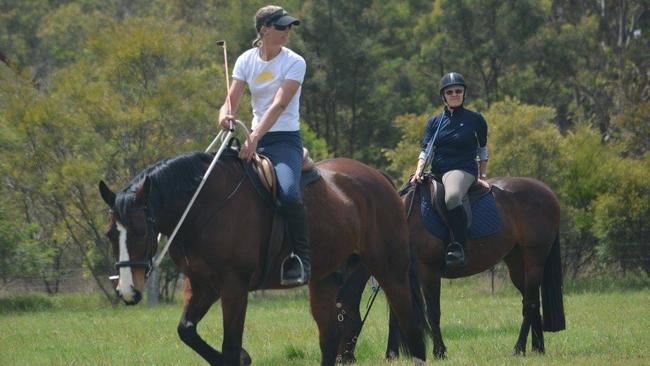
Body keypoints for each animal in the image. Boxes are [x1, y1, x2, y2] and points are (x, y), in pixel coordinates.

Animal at [98, 149, 428, 366]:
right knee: (330, 335)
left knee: (409, 323)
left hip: (389, 270)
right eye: (110, 234)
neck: (204, 207)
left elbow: (230, 347)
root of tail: (377, 177)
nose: (127, 291)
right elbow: (187, 331)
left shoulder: (233, 288)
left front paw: (241, 357)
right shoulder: (201, 286)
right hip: (325, 279)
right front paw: (243, 357)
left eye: (141, 231)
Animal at [332, 177, 564, 360]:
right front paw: (391, 354)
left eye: (340, 316)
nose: (341, 358)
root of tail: (547, 192)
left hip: (534, 260)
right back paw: (538, 348)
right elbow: (397, 316)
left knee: (530, 303)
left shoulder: (428, 272)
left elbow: (433, 311)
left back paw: (518, 348)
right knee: (532, 302)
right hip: (517, 263)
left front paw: (439, 351)